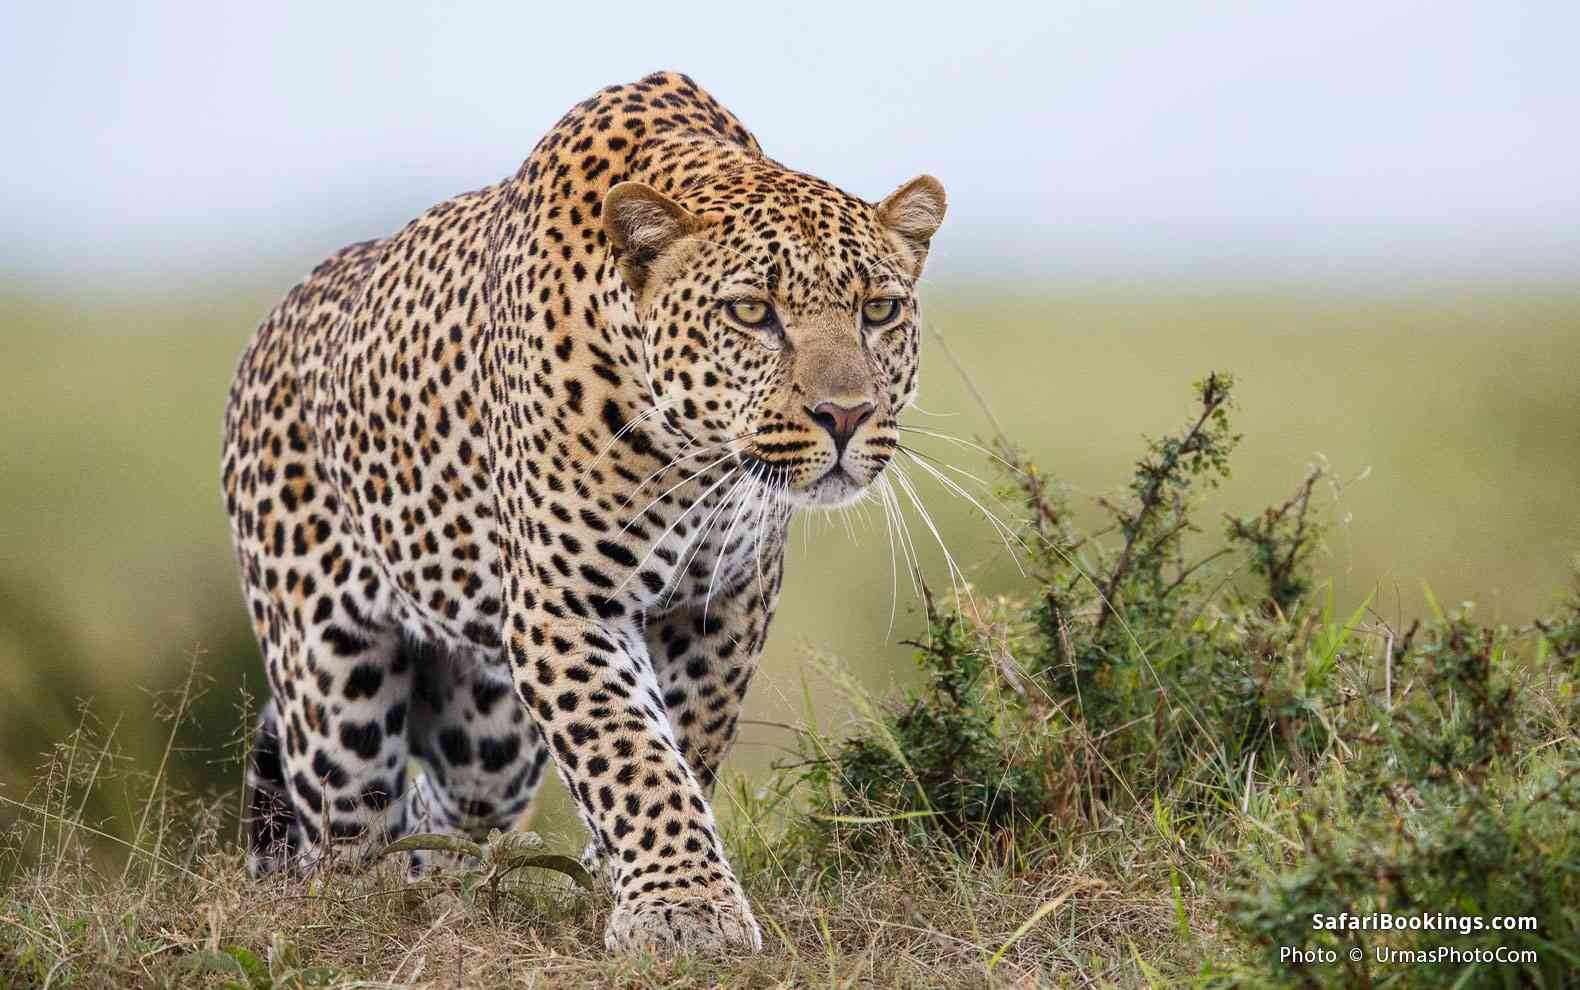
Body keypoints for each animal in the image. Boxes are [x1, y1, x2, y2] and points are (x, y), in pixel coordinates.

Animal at [222, 70, 945, 955]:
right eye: (751, 312)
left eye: (879, 310)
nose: (845, 415)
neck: (695, 458)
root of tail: (274, 323)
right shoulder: (566, 606)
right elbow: (630, 752)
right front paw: (683, 908)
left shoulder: (723, 604)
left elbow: (683, 744)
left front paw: (624, 881)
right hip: (332, 688)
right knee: (346, 834)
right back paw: (373, 911)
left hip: (486, 734)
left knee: (444, 810)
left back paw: (454, 893)